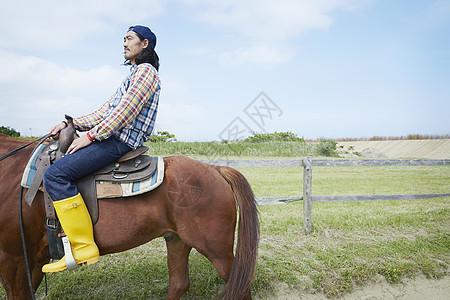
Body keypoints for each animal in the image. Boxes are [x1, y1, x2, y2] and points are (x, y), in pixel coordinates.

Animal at [0, 134, 260, 300]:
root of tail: (215, 169)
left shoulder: (13, 259)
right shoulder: (31, 260)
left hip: (218, 251)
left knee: (240, 287)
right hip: (177, 240)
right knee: (179, 284)